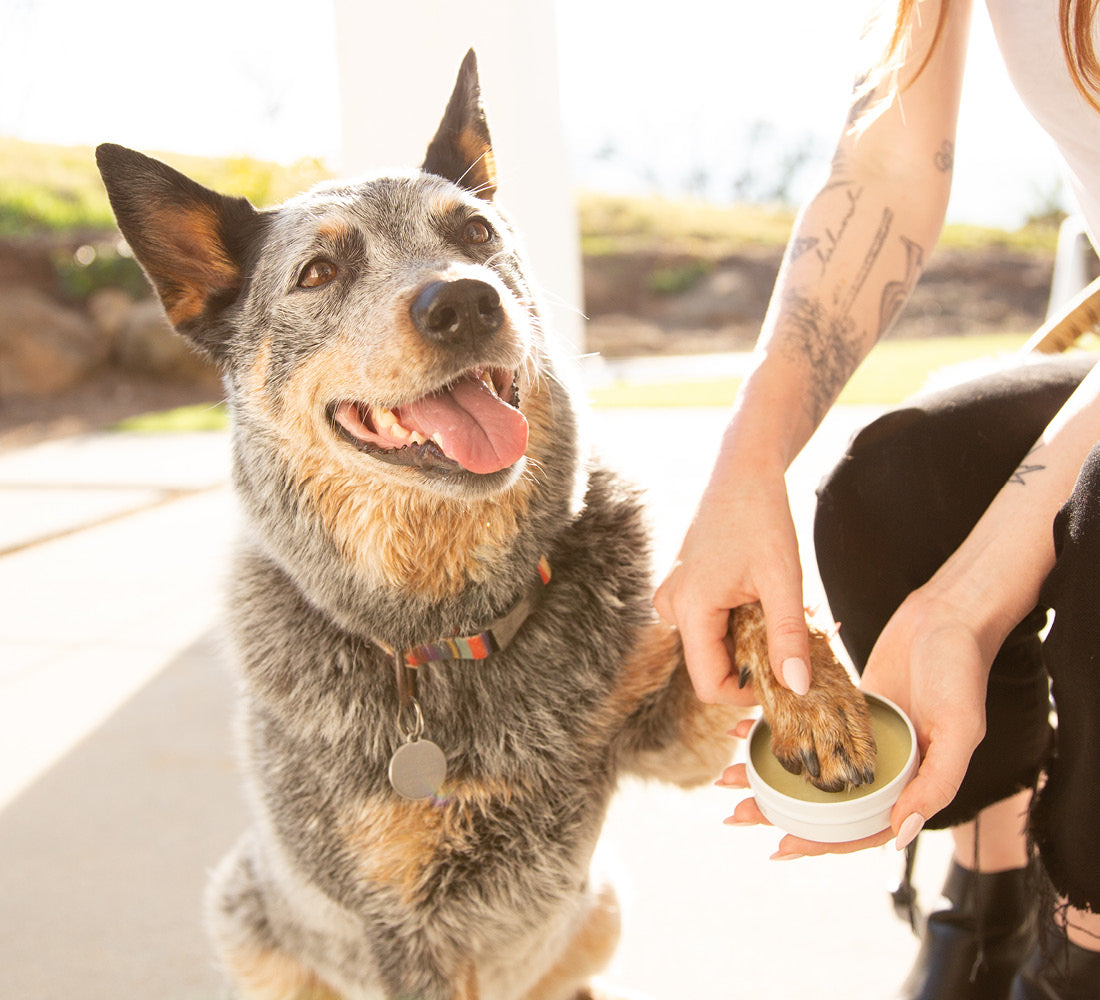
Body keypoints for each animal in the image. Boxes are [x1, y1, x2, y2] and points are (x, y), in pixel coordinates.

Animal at [96, 50, 875, 1000]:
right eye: (317, 273)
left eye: (473, 232)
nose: (463, 302)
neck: (456, 630)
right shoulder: (401, 928)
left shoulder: (670, 743)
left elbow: (744, 608)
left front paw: (820, 701)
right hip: (242, 911)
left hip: (603, 900)